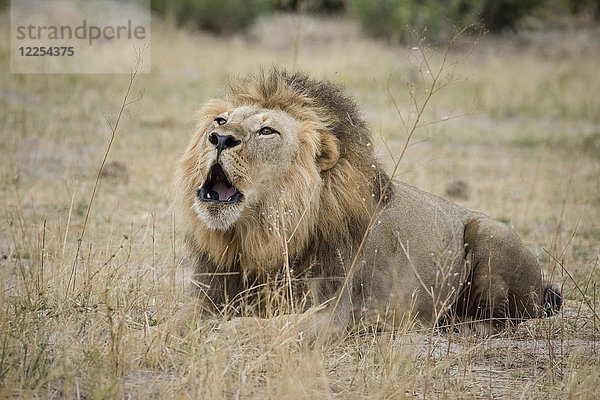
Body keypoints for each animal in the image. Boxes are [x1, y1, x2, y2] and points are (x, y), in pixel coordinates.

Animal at [173, 68, 564, 338]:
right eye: (221, 120)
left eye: (267, 131)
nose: (219, 138)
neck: (259, 235)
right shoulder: (210, 293)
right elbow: (178, 316)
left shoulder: (332, 311)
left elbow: (270, 326)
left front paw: (224, 331)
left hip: (489, 233)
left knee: (503, 321)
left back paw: (457, 324)